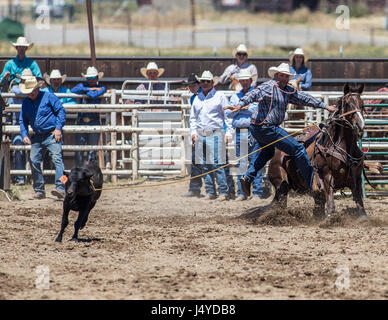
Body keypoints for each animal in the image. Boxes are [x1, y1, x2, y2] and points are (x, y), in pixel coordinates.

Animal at [268, 82, 372, 219]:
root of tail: (276, 154)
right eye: (347, 104)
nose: (360, 125)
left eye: (362, 104)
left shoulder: (356, 178)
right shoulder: (326, 176)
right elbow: (331, 202)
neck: (344, 148)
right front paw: (330, 218)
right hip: (281, 184)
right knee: (279, 202)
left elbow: (359, 202)